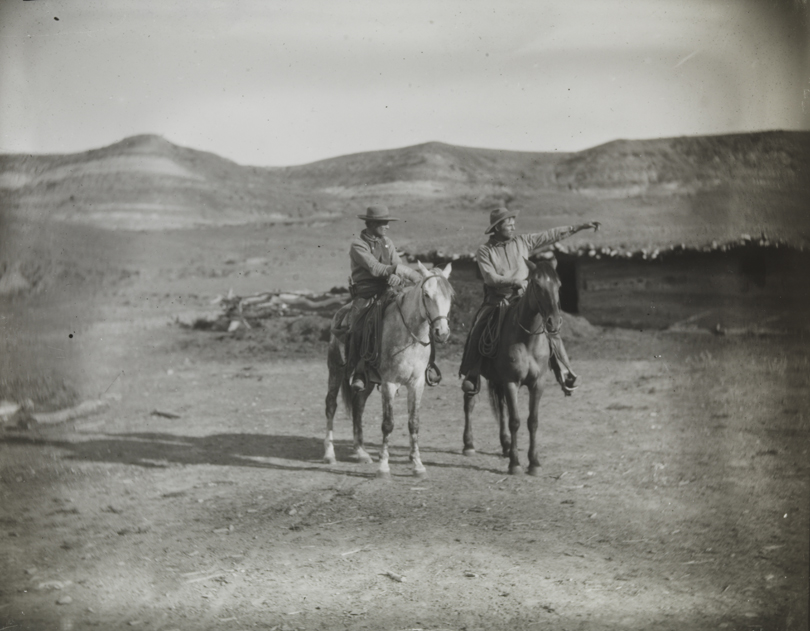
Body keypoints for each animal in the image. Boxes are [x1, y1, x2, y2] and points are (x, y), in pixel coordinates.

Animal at [324, 262, 454, 478]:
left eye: (450, 295)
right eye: (426, 294)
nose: (442, 333)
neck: (409, 336)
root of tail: (340, 313)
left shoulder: (417, 384)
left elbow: (414, 422)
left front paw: (417, 464)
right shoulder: (389, 383)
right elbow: (388, 424)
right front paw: (384, 465)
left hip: (366, 381)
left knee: (358, 406)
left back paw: (361, 452)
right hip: (335, 371)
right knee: (331, 405)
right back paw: (329, 453)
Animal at [462, 258, 562, 475]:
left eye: (558, 285)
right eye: (537, 284)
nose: (554, 322)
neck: (527, 340)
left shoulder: (537, 384)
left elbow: (532, 421)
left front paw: (534, 463)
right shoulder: (511, 382)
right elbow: (515, 420)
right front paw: (515, 464)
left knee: (500, 408)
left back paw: (506, 445)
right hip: (475, 376)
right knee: (469, 402)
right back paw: (469, 444)